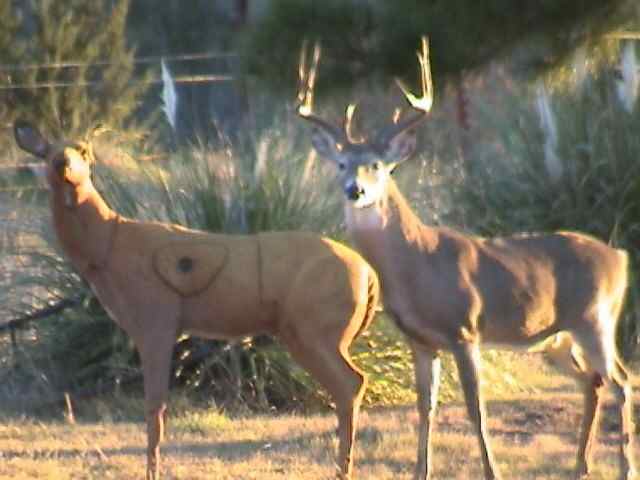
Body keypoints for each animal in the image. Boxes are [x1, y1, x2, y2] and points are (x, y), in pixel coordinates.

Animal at [13, 122, 380, 480]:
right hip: (310, 334)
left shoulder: (155, 319)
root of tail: (369, 273)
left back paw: (343, 470)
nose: (63, 163)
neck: (109, 247)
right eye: (47, 152)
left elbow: (154, 408)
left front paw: (152, 473)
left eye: (85, 150)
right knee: (353, 383)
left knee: (350, 383)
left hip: (314, 329)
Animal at [298, 38, 636, 480]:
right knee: (593, 382)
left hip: (595, 318)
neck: (417, 263)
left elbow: (476, 409)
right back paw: (580, 466)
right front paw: (419, 472)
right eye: (341, 164)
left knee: (621, 382)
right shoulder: (421, 340)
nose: (355, 190)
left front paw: (492, 471)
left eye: (377, 166)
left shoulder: (464, 329)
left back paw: (624, 467)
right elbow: (425, 408)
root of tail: (620, 257)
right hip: (555, 338)